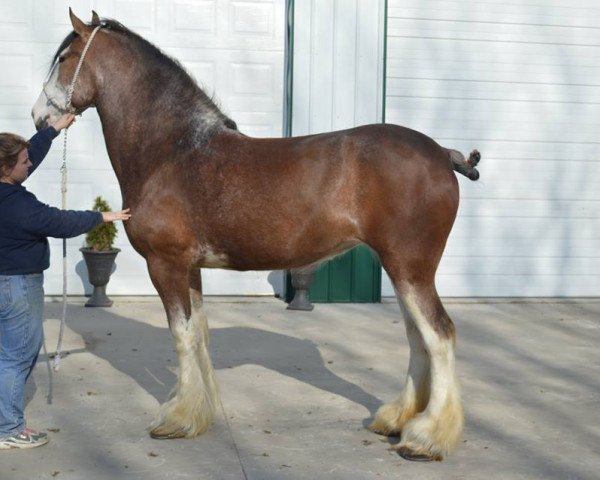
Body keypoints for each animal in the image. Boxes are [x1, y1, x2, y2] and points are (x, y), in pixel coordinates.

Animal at [32, 11, 480, 462]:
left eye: (65, 58)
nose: (38, 117)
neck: (173, 151)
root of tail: (443, 154)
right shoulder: (190, 268)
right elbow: (199, 334)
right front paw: (199, 411)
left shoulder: (165, 264)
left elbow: (182, 336)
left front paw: (176, 420)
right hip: (402, 268)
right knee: (418, 338)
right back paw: (397, 420)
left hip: (410, 267)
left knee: (438, 335)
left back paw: (426, 438)